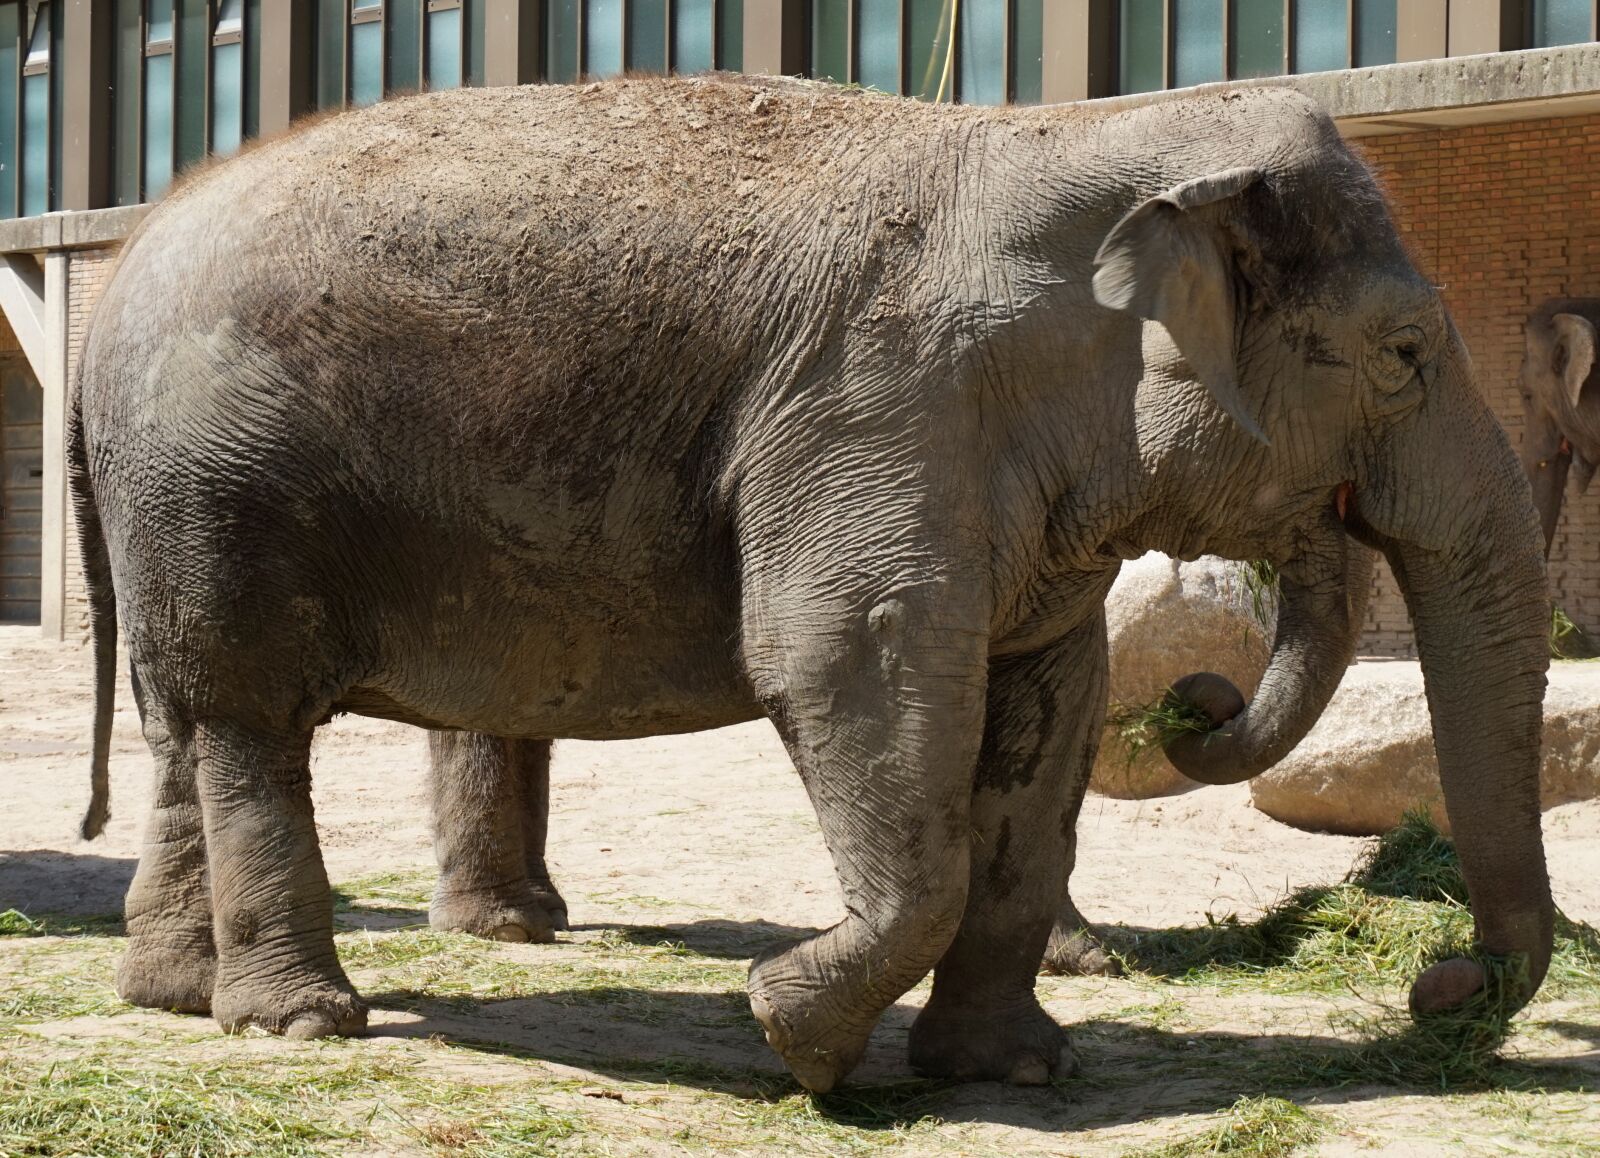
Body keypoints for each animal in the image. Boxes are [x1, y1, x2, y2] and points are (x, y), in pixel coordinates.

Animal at [70, 75, 1553, 1093]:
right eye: (1406, 353)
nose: (1440, 985)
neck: (1075, 134)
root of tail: (117, 277)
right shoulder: (876, 413)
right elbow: (856, 666)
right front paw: (790, 1029)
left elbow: (1048, 720)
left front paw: (1013, 1068)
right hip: (225, 488)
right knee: (249, 715)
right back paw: (302, 1019)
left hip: (181, 503)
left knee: (184, 723)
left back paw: (173, 995)